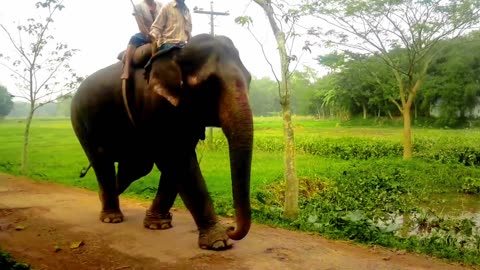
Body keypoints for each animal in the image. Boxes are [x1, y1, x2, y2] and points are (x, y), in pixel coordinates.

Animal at [70, 34, 255, 251]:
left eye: (249, 79)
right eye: (209, 85)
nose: (231, 228)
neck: (176, 54)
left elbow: (177, 162)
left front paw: (158, 224)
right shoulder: (155, 105)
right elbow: (177, 159)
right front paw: (218, 242)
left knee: (136, 167)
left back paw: (103, 198)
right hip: (82, 120)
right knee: (102, 160)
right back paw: (111, 217)